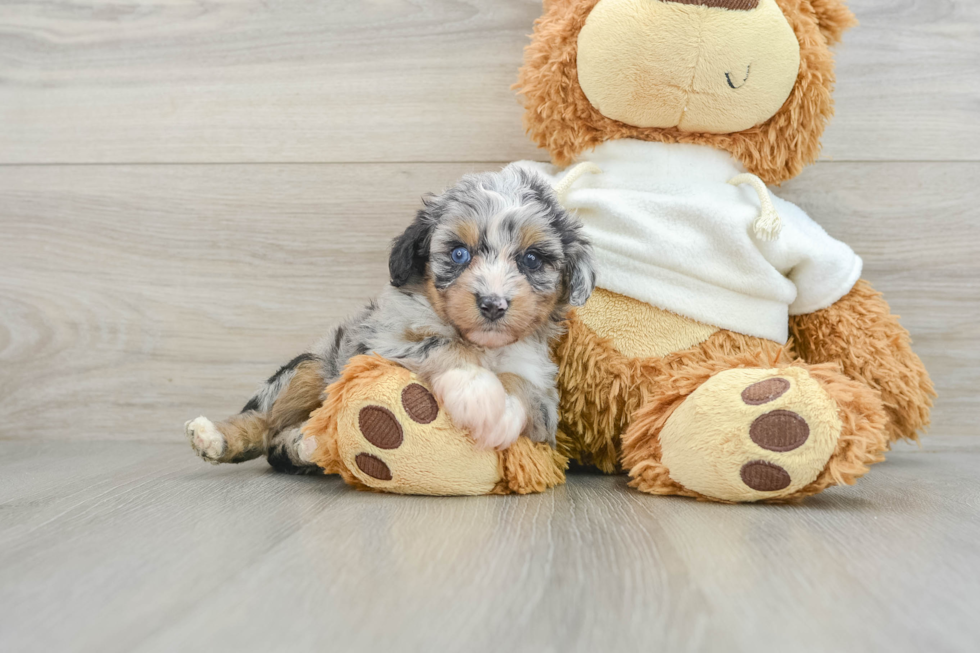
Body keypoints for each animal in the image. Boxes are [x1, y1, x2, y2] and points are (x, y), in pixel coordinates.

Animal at [186, 164, 596, 474]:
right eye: (459, 254)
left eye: (531, 259)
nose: (493, 304)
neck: (484, 346)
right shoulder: (385, 342)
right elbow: (443, 344)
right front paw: (479, 396)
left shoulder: (543, 401)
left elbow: (525, 390)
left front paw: (503, 412)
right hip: (310, 368)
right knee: (264, 422)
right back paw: (216, 437)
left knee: (279, 442)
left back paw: (306, 442)